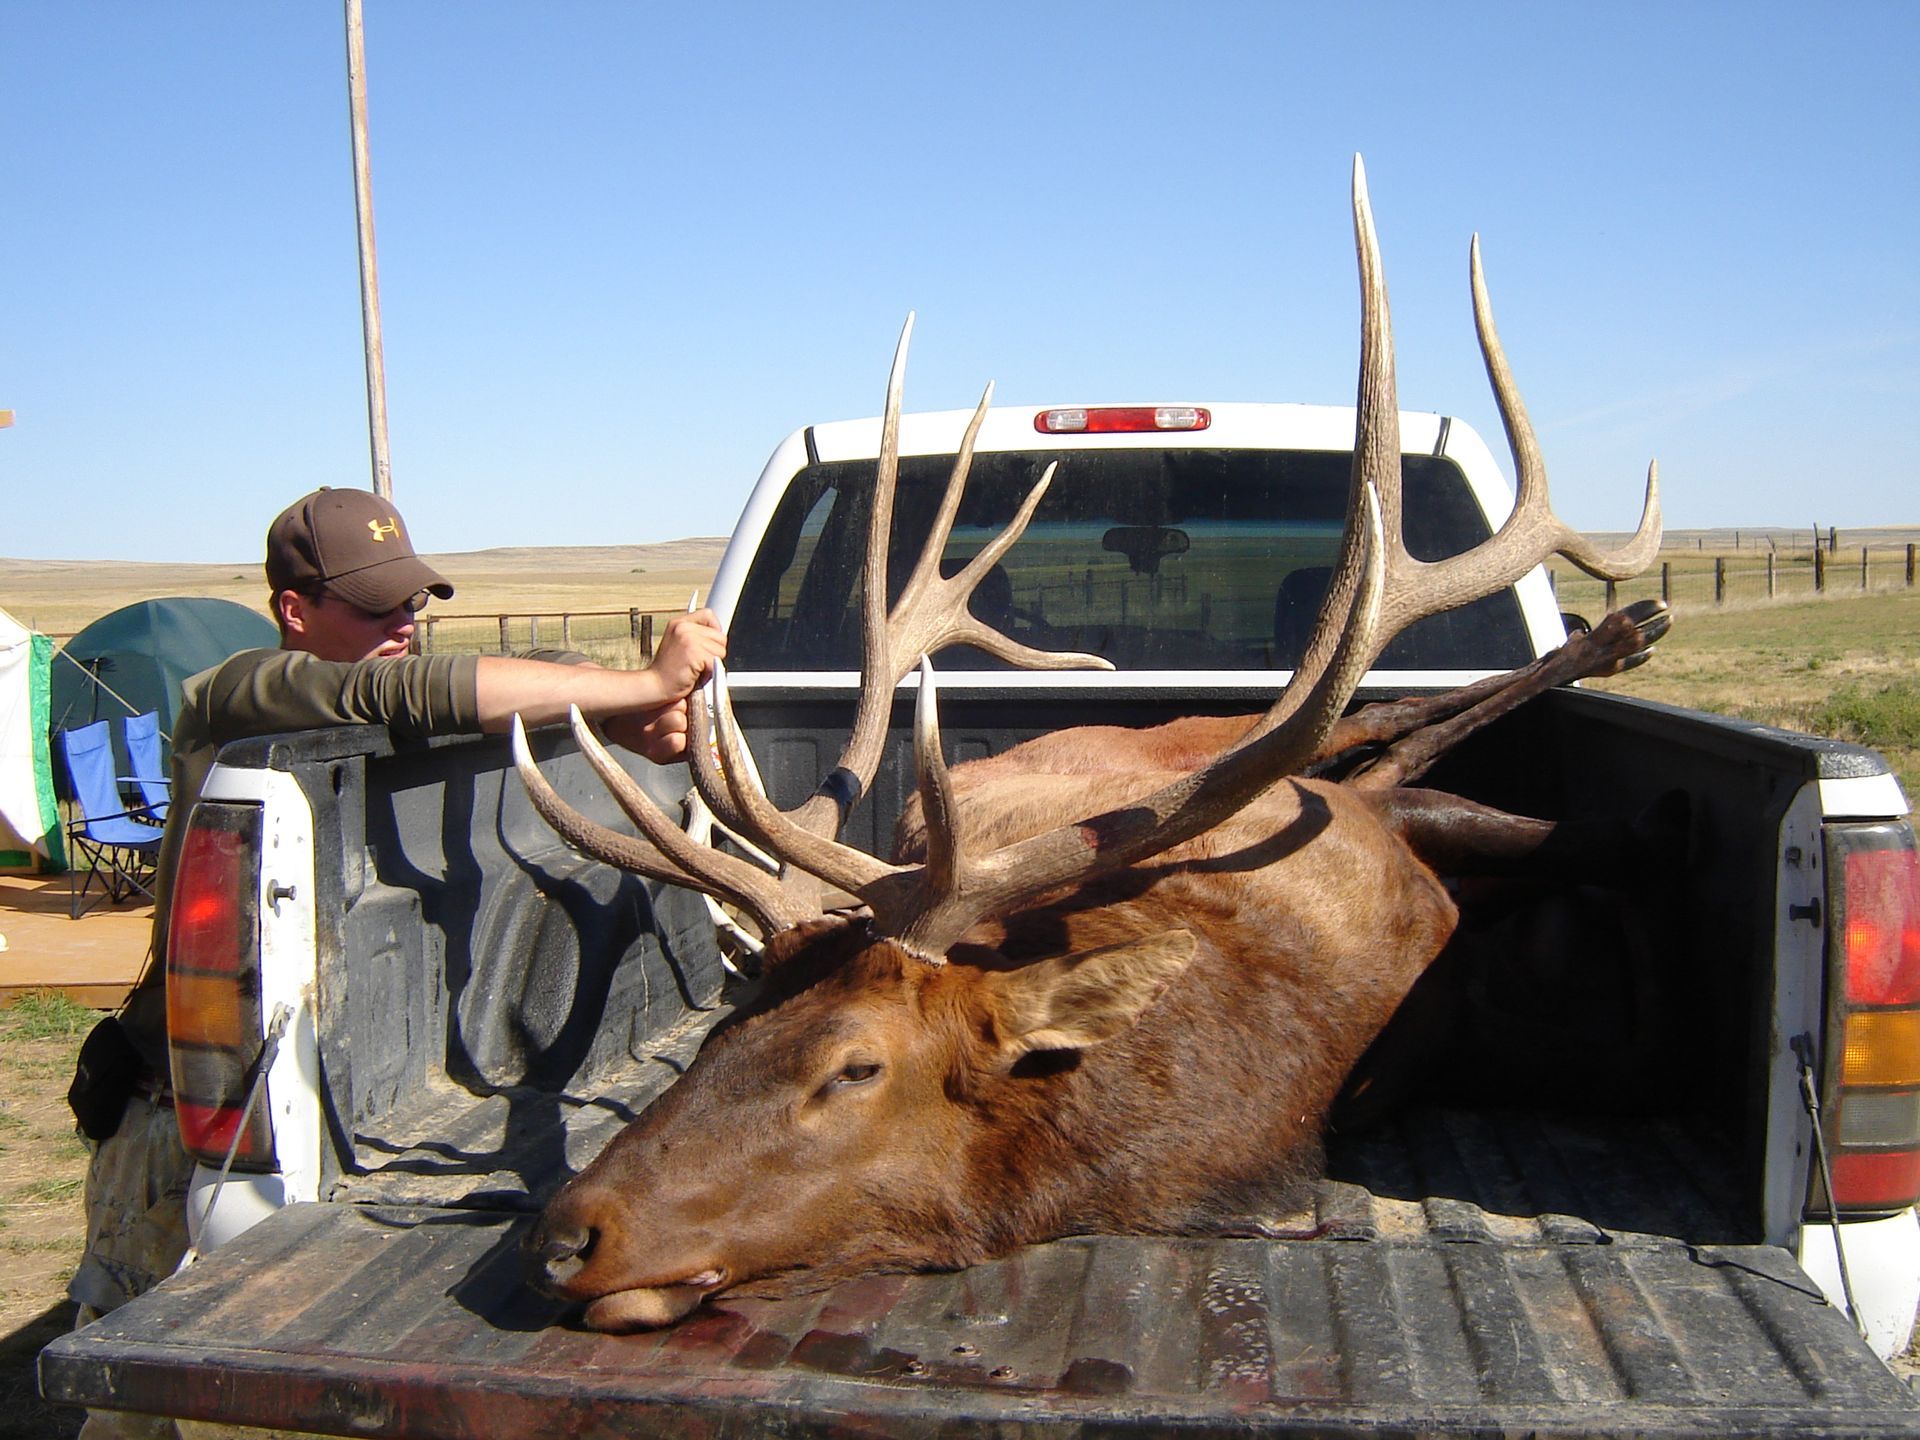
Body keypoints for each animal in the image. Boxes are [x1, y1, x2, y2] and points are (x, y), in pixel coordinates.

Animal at [510, 157, 1665, 1332]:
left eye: (854, 1068)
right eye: (721, 1029)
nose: (564, 1237)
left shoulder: (1359, 834)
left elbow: (1520, 817)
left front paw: (1632, 826)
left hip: (1211, 738)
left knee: (1374, 723)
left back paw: (1621, 629)